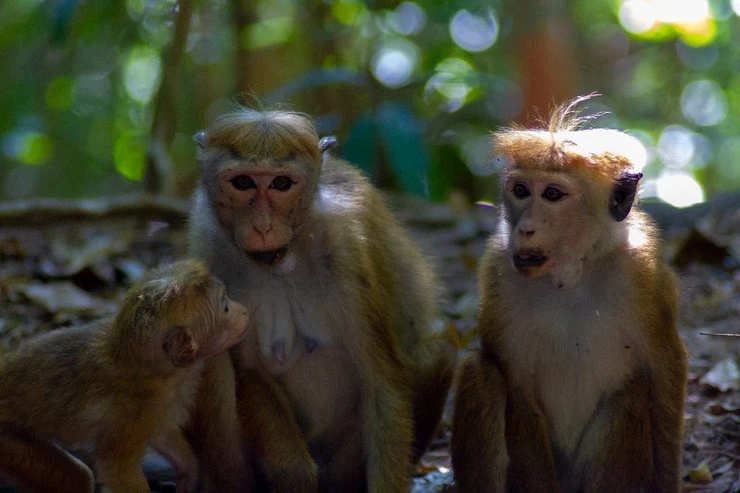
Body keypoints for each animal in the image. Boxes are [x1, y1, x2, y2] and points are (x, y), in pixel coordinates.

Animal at [0, 258, 250, 492]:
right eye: (225, 307)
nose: (244, 311)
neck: (146, 367)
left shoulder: (161, 403)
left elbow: (161, 433)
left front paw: (188, 472)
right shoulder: (135, 410)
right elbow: (118, 469)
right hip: (8, 441)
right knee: (79, 480)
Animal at [186, 108, 456, 492]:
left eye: (281, 184)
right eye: (243, 183)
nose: (263, 226)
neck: (283, 261)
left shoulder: (348, 248)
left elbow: (383, 383)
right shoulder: (212, 254)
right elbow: (249, 370)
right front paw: (295, 474)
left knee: (435, 353)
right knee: (213, 354)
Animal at [450, 94, 688, 490]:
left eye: (552, 194)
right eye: (520, 191)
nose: (526, 228)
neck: (570, 275)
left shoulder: (644, 278)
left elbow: (664, 370)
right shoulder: (499, 273)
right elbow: (517, 388)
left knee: (630, 395)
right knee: (478, 371)